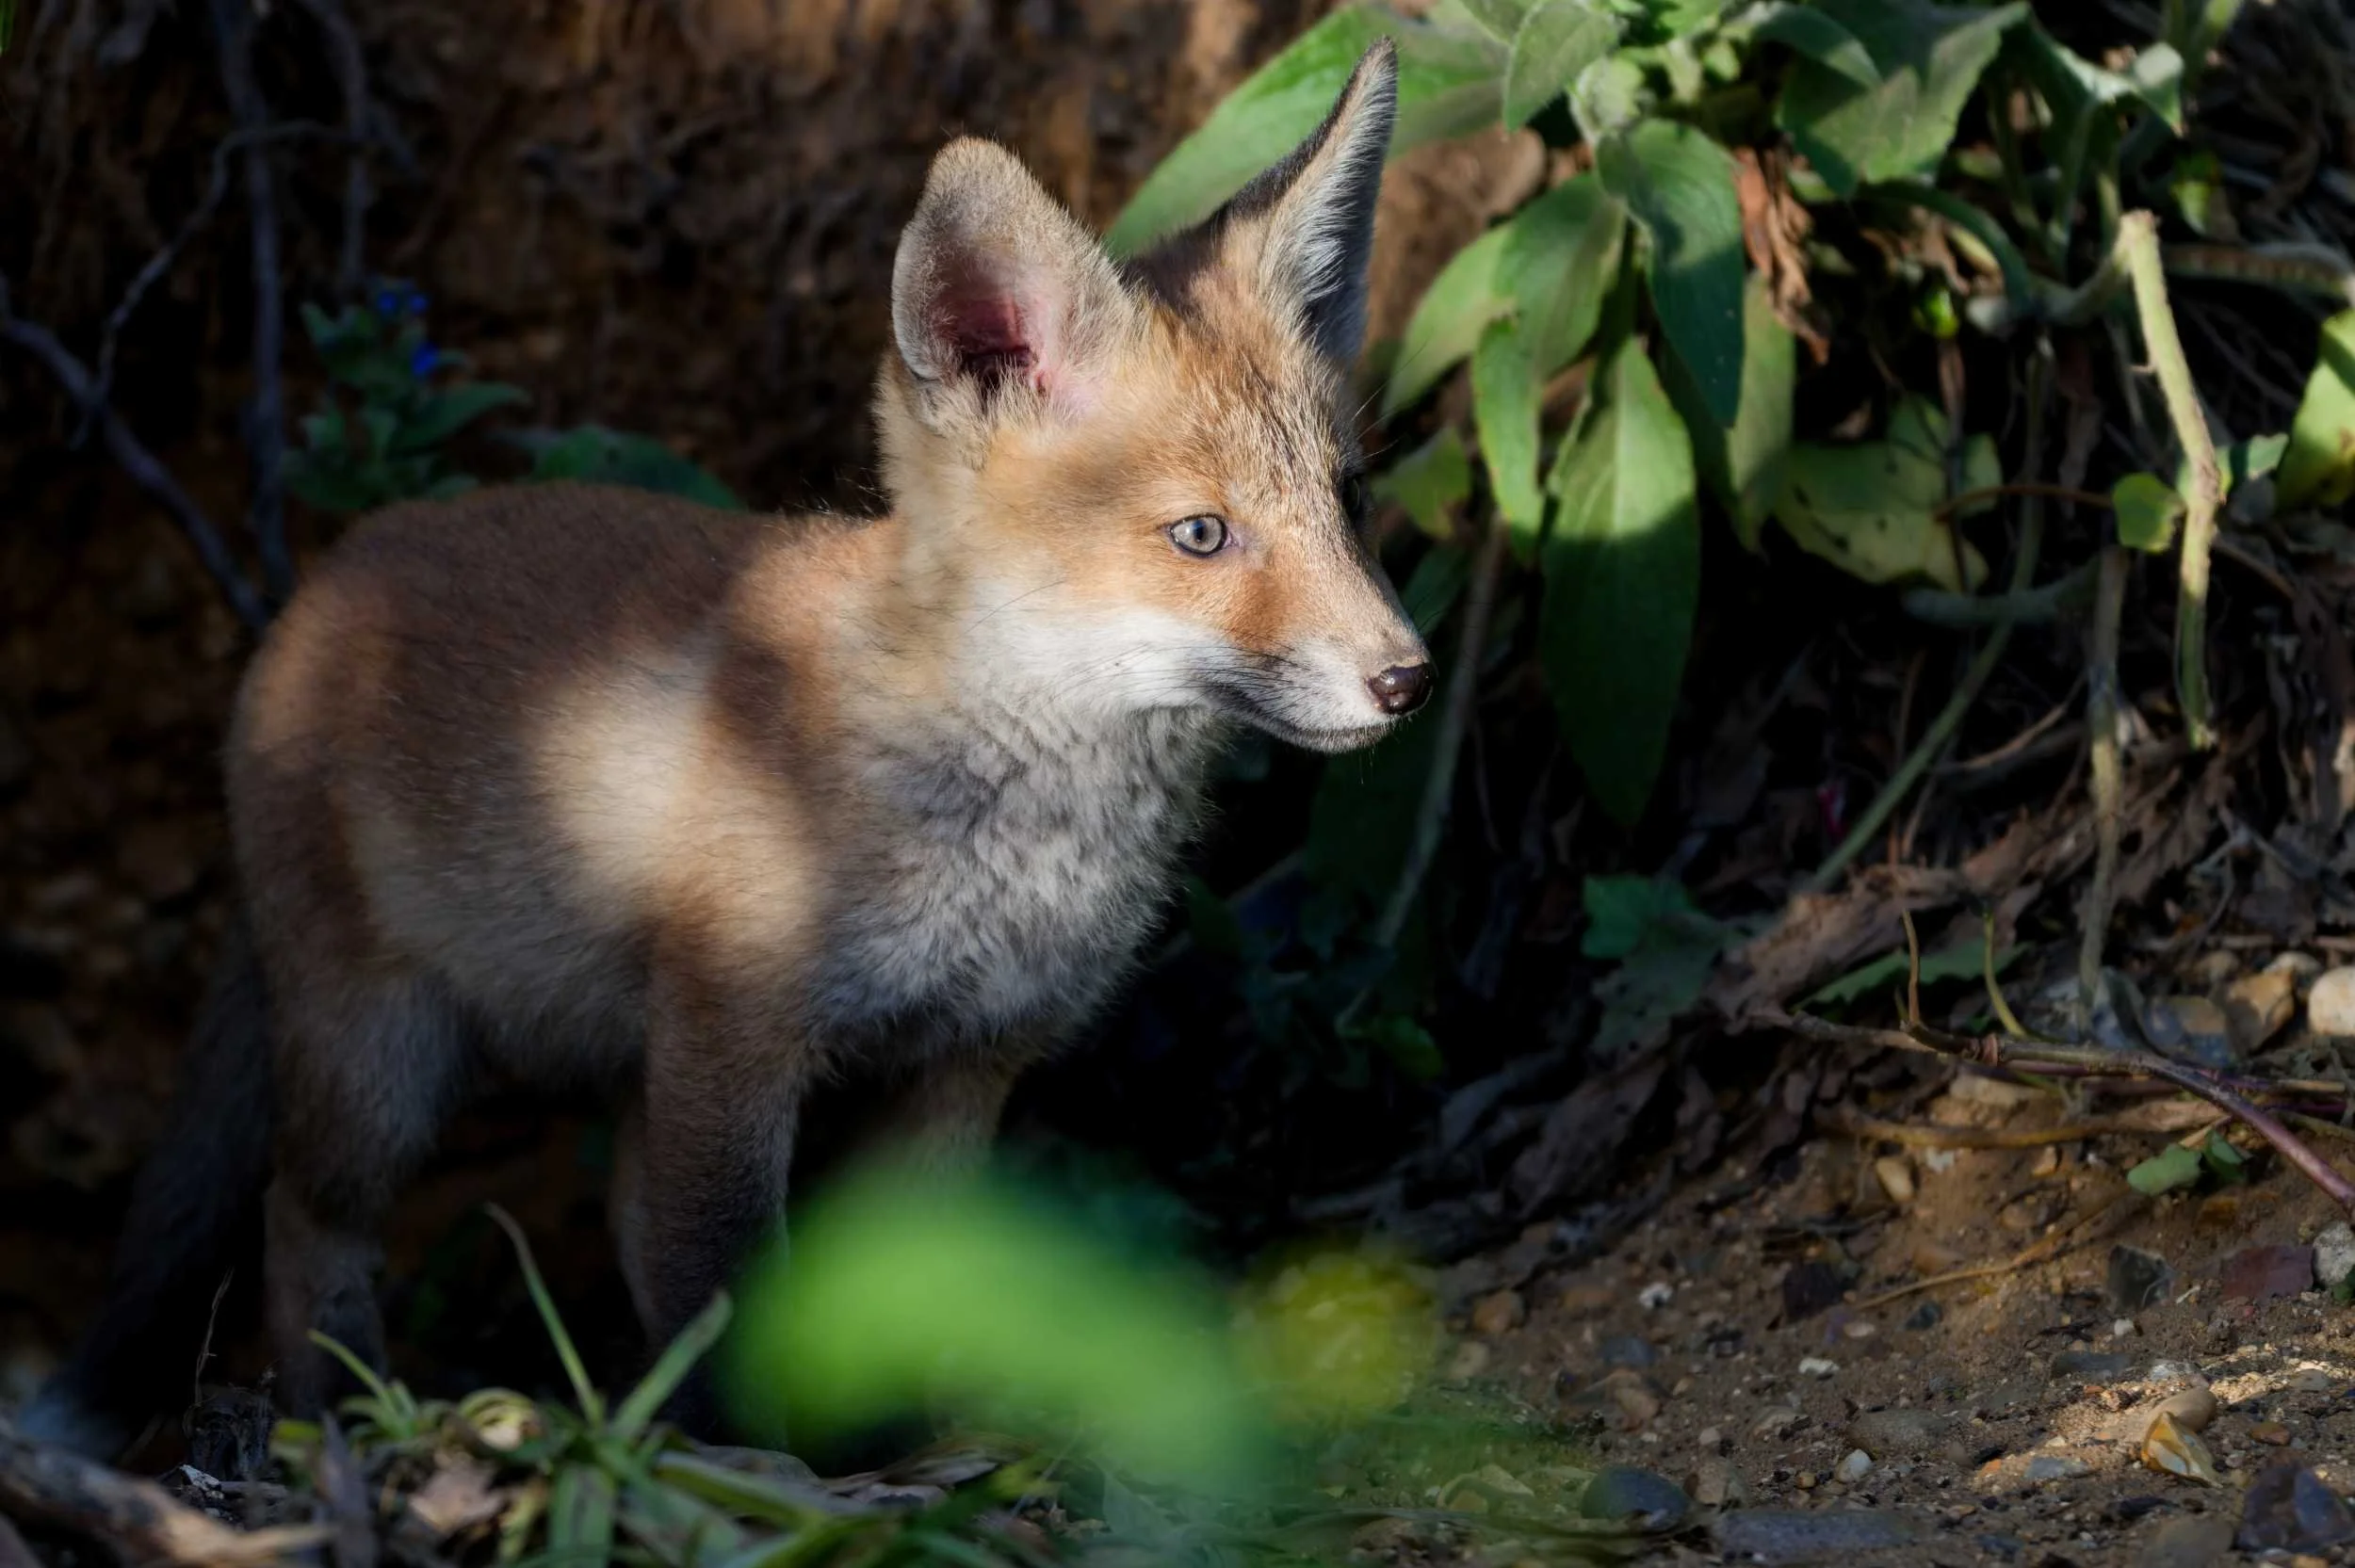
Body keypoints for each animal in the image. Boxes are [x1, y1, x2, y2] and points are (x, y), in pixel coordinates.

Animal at [20, 41, 1430, 1457]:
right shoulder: (731, 1034)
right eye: (1201, 536)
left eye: (1350, 500)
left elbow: (898, 1289)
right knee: (299, 1223)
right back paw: (344, 1423)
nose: (1410, 677)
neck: (1006, 824)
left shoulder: (964, 1060)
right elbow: (725, 1283)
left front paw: (870, 1453)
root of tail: (319, 586)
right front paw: (744, 1464)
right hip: (384, 1061)